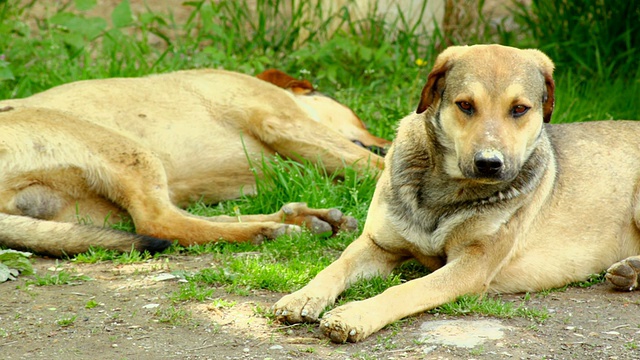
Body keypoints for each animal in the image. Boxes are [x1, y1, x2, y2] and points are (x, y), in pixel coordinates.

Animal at [0, 69, 388, 258]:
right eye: (362, 122)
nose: (385, 140)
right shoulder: (284, 120)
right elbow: (370, 164)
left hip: (94, 207)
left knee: (183, 220)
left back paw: (299, 220)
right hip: (124, 151)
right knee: (161, 223)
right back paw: (269, 230)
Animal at [272, 45, 640, 344]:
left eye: (519, 109)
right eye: (465, 105)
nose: (489, 163)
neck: (446, 189)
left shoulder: (471, 265)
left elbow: (404, 289)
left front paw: (355, 314)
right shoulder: (378, 244)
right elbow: (336, 266)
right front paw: (303, 295)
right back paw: (629, 271)